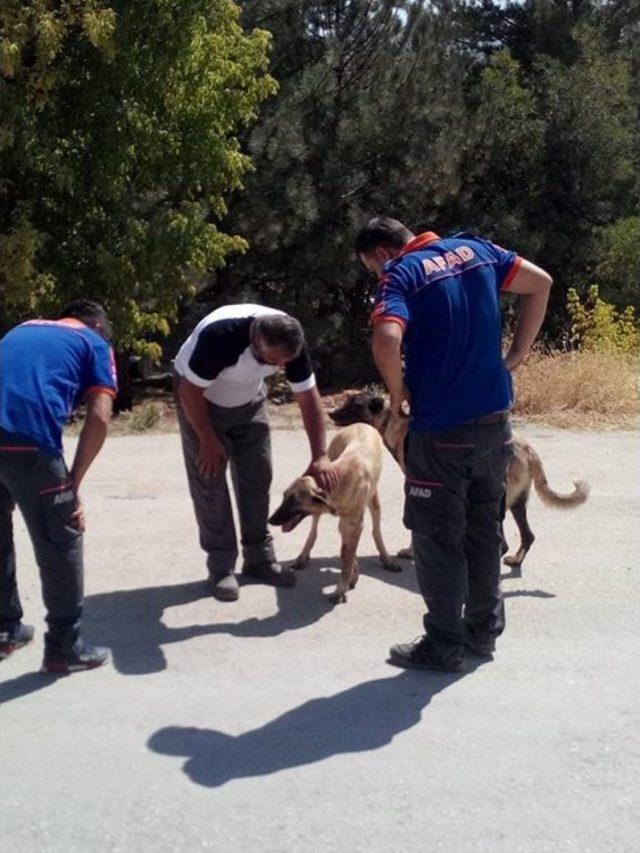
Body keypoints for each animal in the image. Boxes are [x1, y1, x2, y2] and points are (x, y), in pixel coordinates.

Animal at [268, 422, 400, 604]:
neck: (340, 481)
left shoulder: (353, 524)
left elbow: (347, 557)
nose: (270, 519)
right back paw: (303, 557)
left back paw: (386, 559)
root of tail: (361, 423)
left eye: (294, 502)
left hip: (374, 501)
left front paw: (342, 586)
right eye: (284, 497)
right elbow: (347, 554)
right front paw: (349, 579)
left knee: (376, 531)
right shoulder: (347, 524)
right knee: (314, 531)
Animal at [330, 392, 592, 572]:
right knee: (527, 536)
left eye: (353, 404)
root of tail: (527, 448)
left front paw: (412, 553)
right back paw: (515, 561)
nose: (330, 413)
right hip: (517, 501)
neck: (394, 422)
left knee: (502, 544)